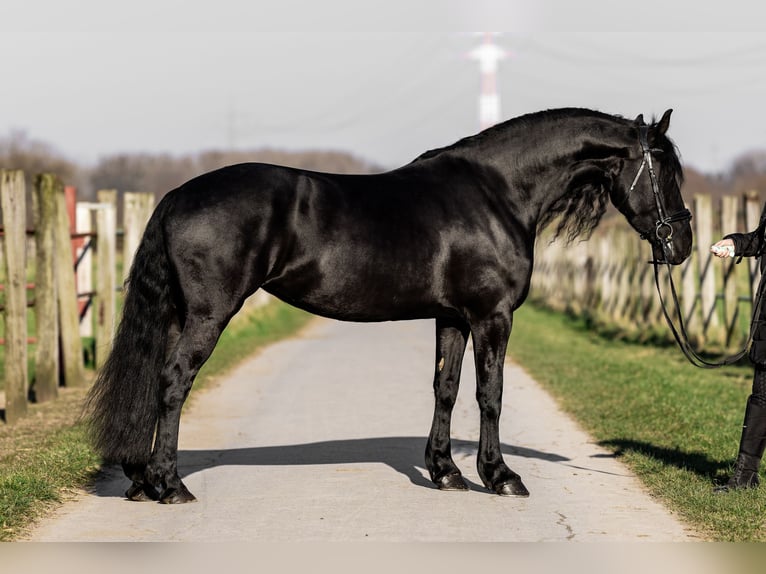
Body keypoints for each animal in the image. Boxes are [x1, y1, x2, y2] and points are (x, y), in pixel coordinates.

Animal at [85, 108, 696, 504]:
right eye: (664, 169)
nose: (683, 244)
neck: (497, 192)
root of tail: (176, 196)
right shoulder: (492, 316)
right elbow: (491, 395)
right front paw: (500, 476)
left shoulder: (452, 317)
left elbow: (446, 388)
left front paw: (446, 472)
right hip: (208, 316)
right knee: (172, 382)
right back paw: (171, 486)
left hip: (178, 315)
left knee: (155, 381)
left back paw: (142, 482)